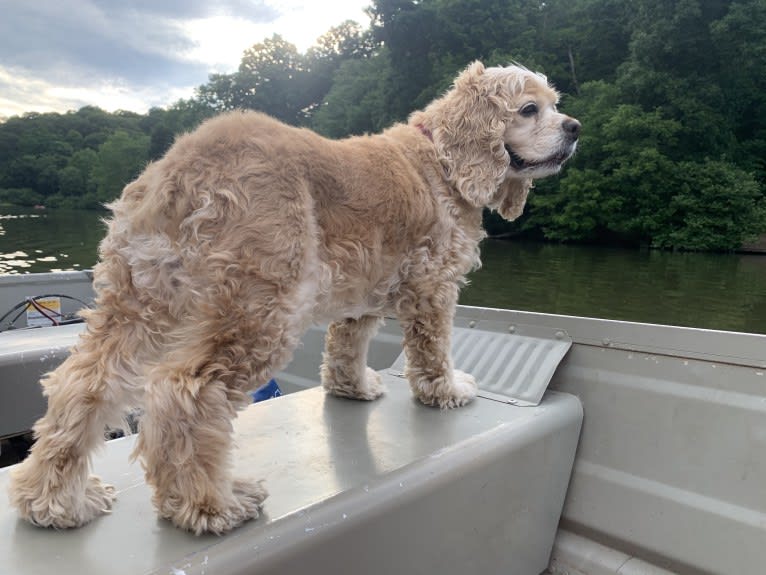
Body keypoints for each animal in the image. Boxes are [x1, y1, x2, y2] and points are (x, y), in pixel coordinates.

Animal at [9, 62, 580, 536]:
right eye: (529, 109)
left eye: (555, 104)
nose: (575, 128)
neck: (440, 158)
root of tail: (187, 164)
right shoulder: (432, 286)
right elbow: (433, 351)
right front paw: (448, 391)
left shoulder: (361, 291)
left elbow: (346, 347)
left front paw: (353, 389)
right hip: (261, 307)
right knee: (183, 392)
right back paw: (209, 505)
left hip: (140, 299)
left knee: (82, 382)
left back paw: (55, 502)